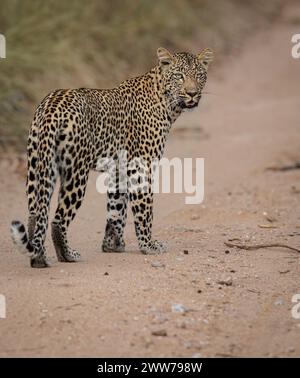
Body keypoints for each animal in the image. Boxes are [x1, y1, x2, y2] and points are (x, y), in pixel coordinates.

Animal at [9, 47, 213, 268]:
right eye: (179, 76)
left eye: (199, 75)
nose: (192, 93)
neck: (167, 104)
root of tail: (51, 107)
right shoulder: (141, 167)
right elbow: (144, 209)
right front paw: (148, 246)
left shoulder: (119, 169)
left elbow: (116, 209)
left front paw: (112, 245)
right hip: (75, 173)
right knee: (58, 219)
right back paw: (68, 255)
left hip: (36, 166)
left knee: (36, 214)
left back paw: (38, 258)